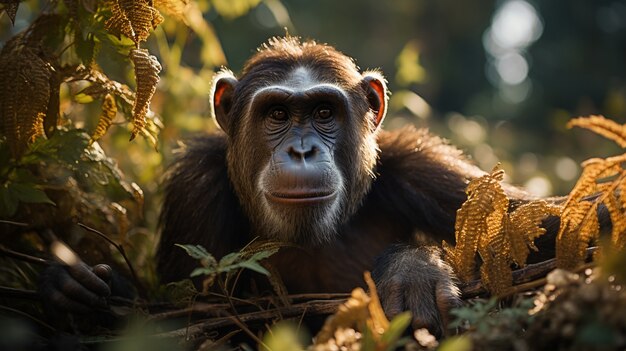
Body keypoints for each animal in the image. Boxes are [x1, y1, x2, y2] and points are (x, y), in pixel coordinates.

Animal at [39, 36, 552, 338]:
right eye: (277, 114)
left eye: (324, 112)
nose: (301, 150)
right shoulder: (194, 188)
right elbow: (186, 319)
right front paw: (80, 289)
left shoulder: (426, 169)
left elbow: (537, 234)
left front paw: (413, 271)